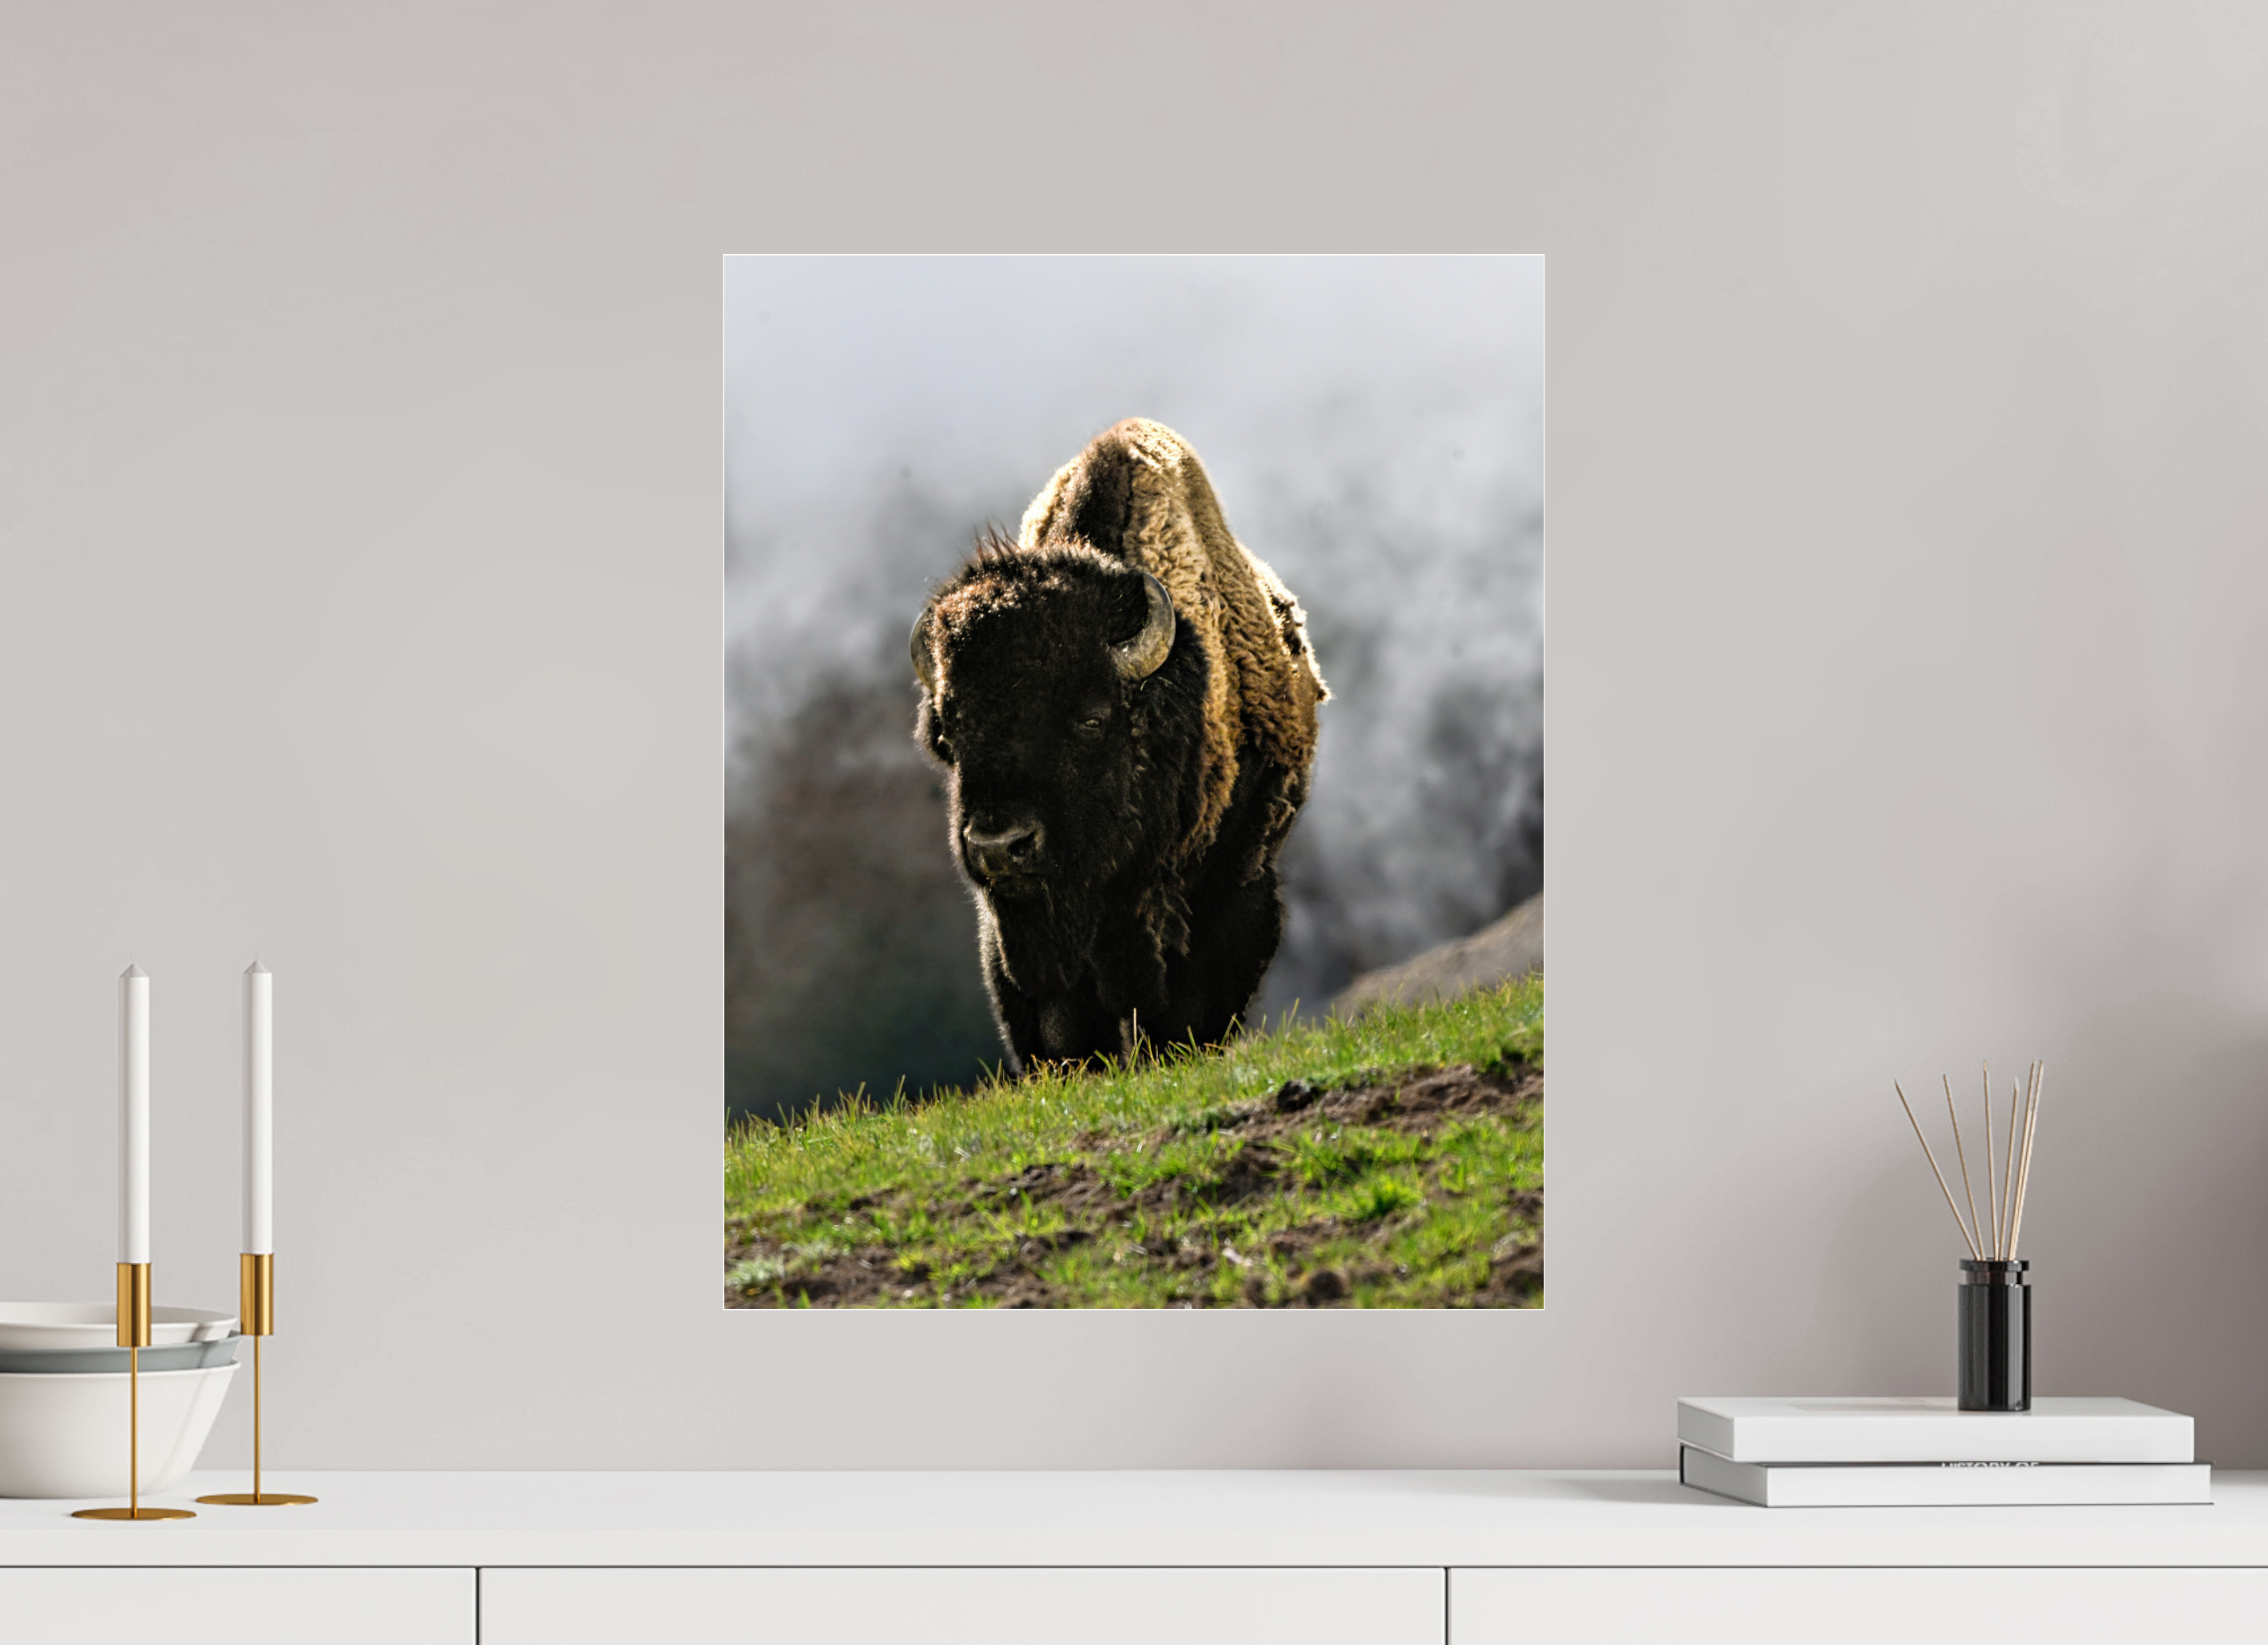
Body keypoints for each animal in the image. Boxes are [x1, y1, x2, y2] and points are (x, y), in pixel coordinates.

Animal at [910, 419, 1327, 1072]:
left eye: (1090, 719)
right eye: (950, 734)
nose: (999, 846)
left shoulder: (1224, 889)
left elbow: (1188, 1008)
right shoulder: (1023, 940)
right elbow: (1062, 1028)